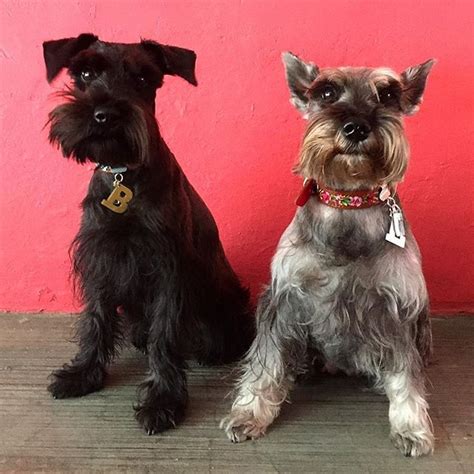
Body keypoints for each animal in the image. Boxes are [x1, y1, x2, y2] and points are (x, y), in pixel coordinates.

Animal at [42, 32, 254, 434]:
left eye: (142, 78)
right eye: (85, 73)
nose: (104, 114)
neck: (123, 176)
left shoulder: (167, 270)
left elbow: (164, 335)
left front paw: (163, 400)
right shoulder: (99, 261)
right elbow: (95, 320)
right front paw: (84, 373)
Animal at [220, 51, 436, 456]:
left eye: (388, 95)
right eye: (326, 92)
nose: (355, 127)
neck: (348, 204)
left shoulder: (396, 309)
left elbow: (405, 373)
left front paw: (412, 426)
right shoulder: (284, 298)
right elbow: (265, 363)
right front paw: (249, 413)